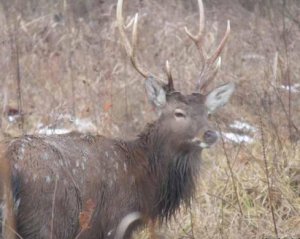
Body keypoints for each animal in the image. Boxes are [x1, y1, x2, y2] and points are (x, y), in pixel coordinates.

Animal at [0, 0, 234, 238]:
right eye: (178, 112)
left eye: (207, 113)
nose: (210, 134)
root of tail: (12, 166)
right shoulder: (113, 223)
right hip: (46, 218)